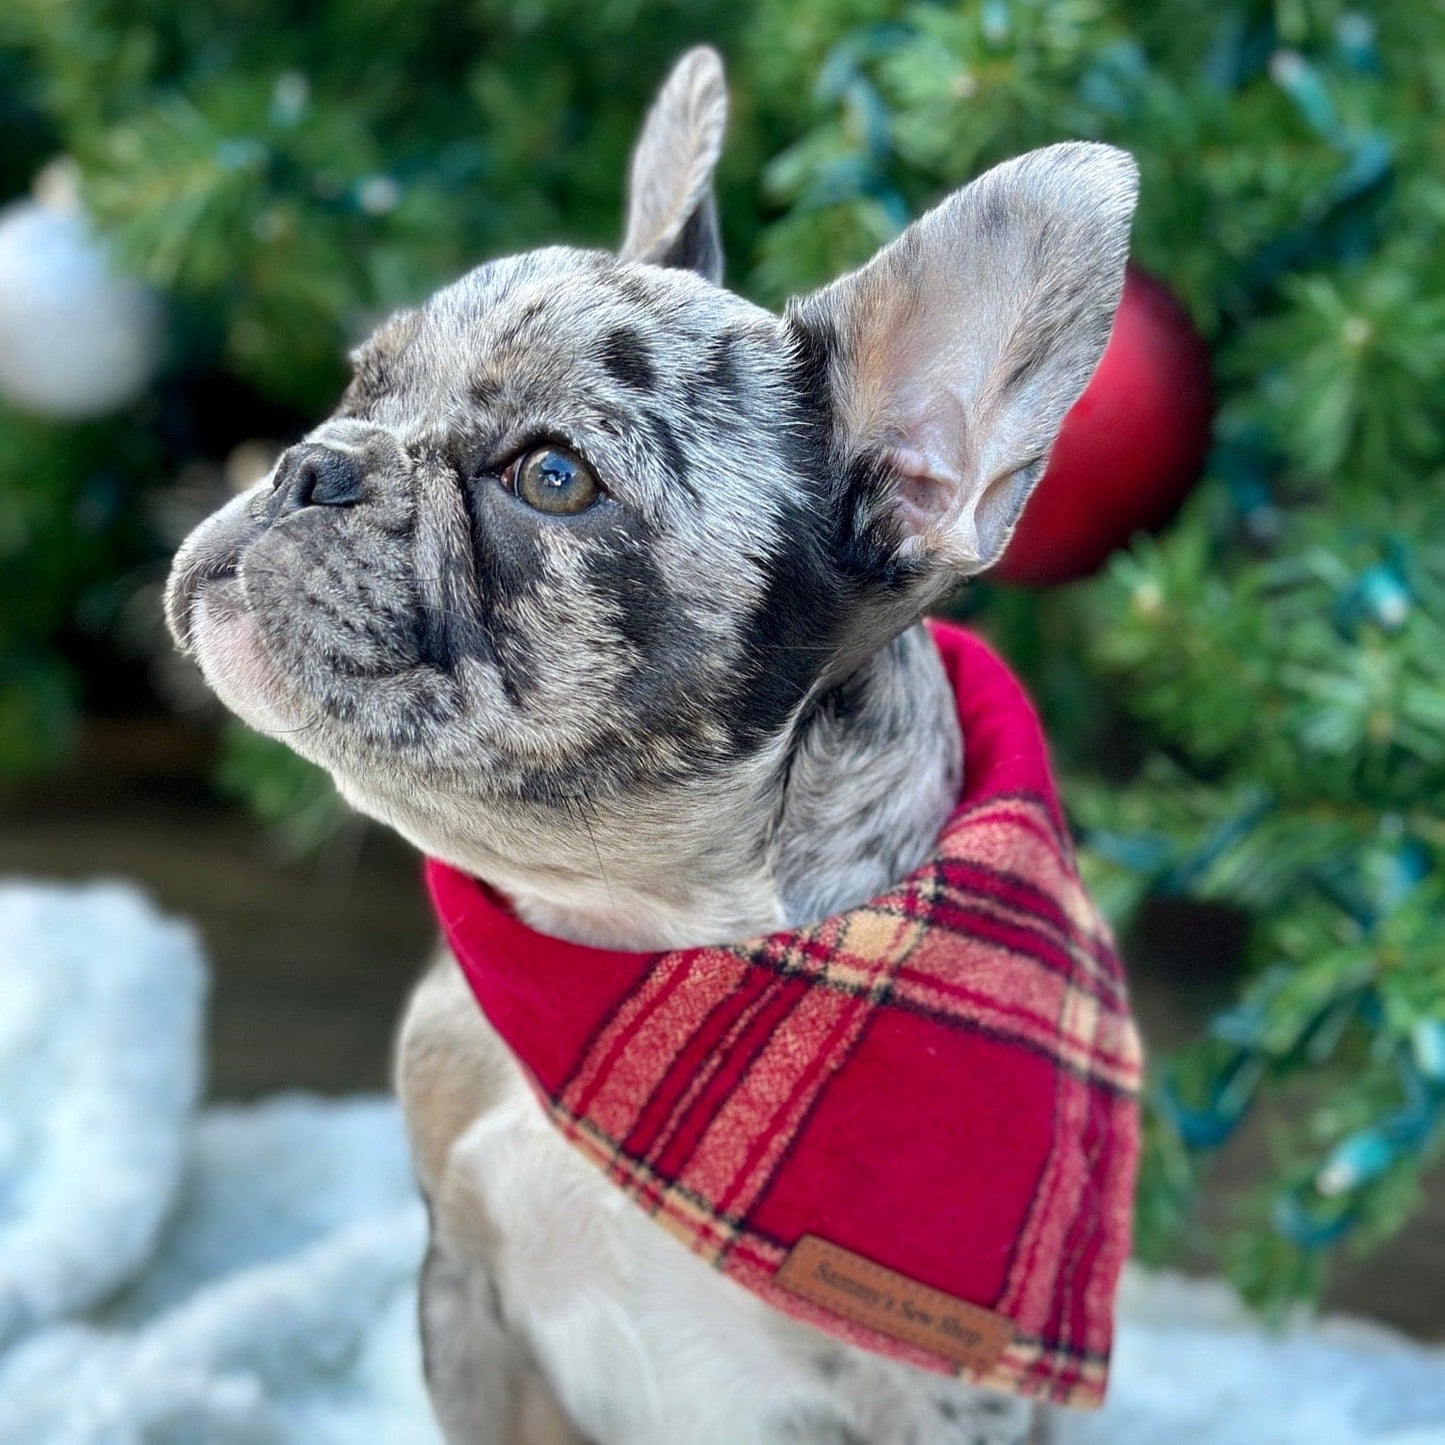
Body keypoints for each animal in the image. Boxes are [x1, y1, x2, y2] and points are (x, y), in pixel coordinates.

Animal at [169, 45, 1132, 1445]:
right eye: (358, 386)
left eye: (552, 477)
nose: (312, 464)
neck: (633, 935)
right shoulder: (465, 1298)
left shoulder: (937, 1402)